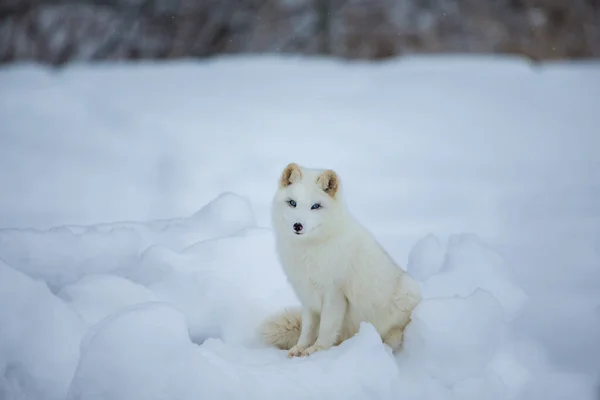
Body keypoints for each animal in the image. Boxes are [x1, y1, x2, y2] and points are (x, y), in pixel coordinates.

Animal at [260, 164, 420, 358]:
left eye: (315, 206)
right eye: (292, 203)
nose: (297, 226)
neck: (310, 249)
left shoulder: (334, 294)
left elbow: (326, 328)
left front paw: (317, 351)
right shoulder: (307, 295)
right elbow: (308, 329)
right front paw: (300, 349)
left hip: (407, 290)